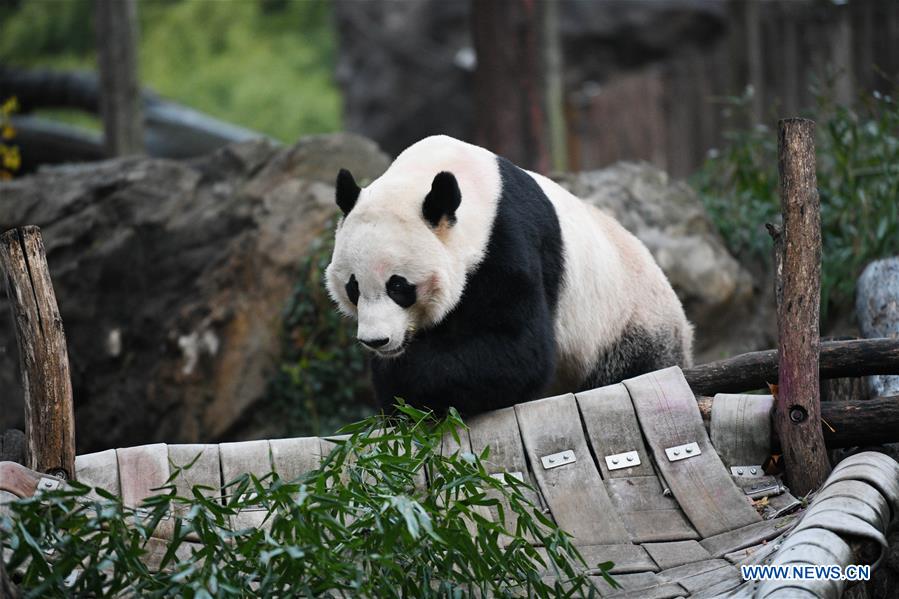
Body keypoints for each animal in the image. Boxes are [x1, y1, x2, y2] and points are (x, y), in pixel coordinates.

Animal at [325, 135, 692, 415]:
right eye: (353, 287)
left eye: (399, 286)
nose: (376, 341)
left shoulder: (507, 239)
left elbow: (515, 348)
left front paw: (404, 378)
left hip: (628, 326)